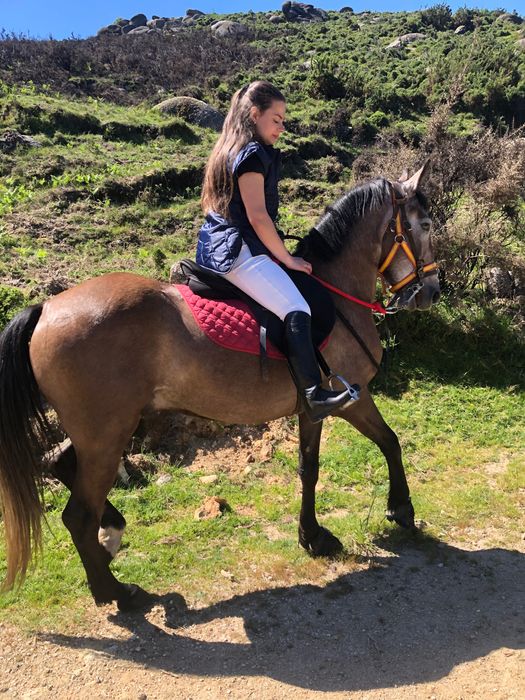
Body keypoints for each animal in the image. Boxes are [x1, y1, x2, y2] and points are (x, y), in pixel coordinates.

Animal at [0, 162, 440, 611]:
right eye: (424, 224)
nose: (432, 291)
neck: (333, 293)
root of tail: (47, 308)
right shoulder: (350, 398)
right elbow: (389, 442)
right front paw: (400, 509)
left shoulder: (313, 409)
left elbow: (311, 468)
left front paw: (313, 536)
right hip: (106, 435)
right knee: (77, 515)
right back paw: (117, 591)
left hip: (100, 431)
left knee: (58, 465)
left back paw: (111, 539)